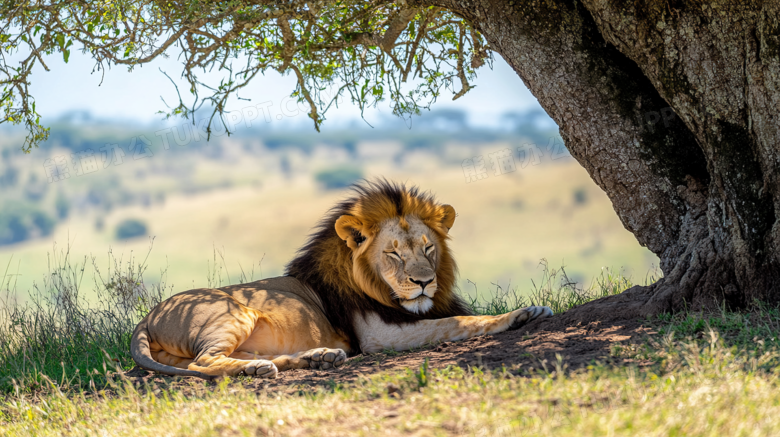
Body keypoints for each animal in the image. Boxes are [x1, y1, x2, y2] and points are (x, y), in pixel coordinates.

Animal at [129, 179, 556, 376]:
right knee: (203, 362)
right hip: (233, 312)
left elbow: (457, 314)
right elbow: (459, 321)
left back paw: (316, 357)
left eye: (428, 249)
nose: (423, 282)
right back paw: (259, 369)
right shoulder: (379, 335)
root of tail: (145, 319)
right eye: (393, 253)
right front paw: (520, 315)